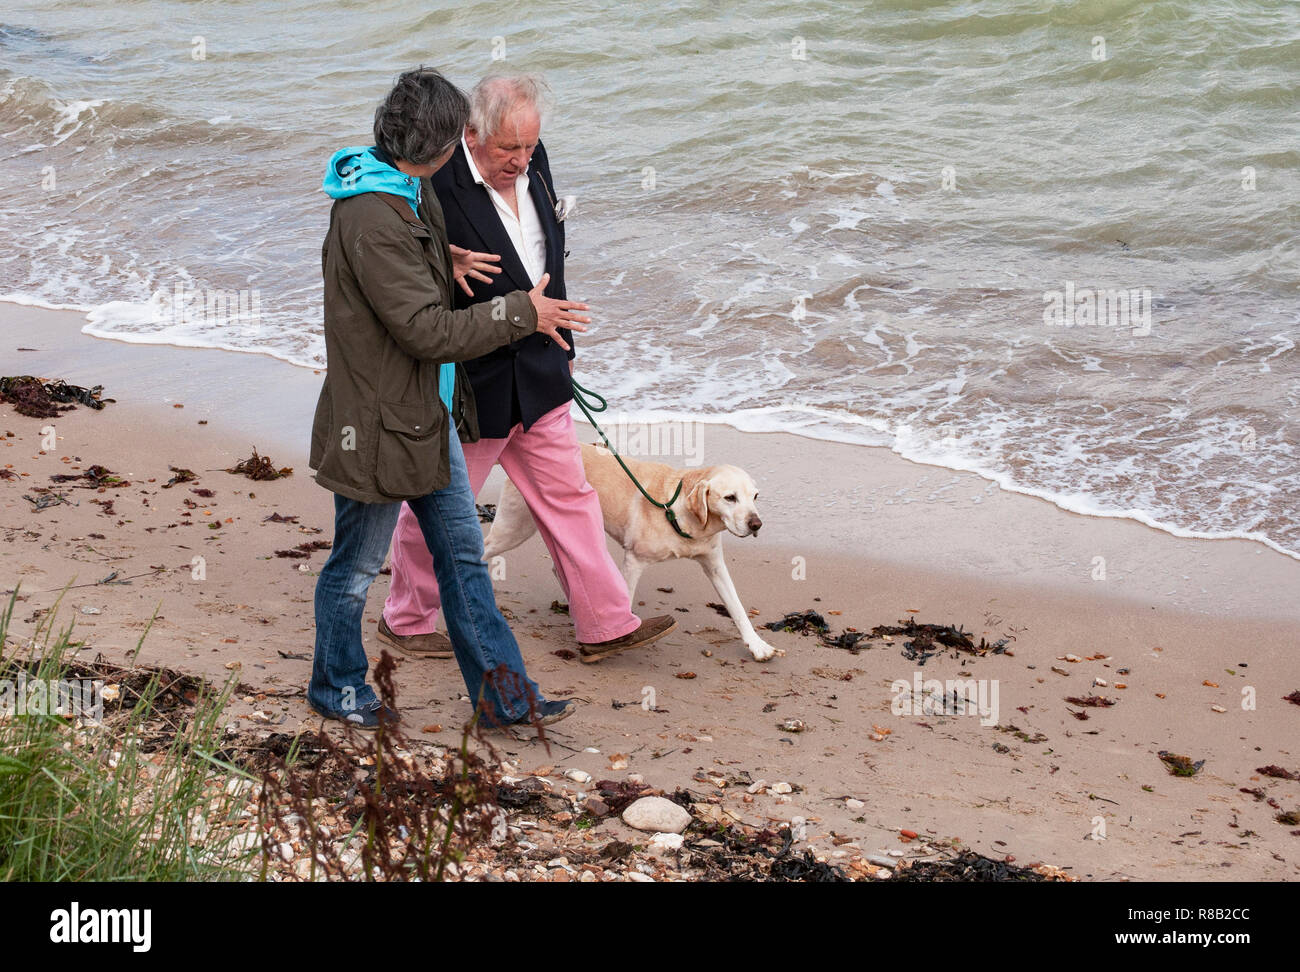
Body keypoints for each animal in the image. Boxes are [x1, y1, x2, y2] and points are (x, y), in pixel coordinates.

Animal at [483, 444, 774, 665]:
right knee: (484, 548)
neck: (681, 515)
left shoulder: (715, 565)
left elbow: (737, 608)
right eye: (730, 498)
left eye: (755, 496)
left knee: (560, 567)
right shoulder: (634, 561)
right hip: (515, 528)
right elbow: (626, 597)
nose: (757, 524)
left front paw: (757, 645)